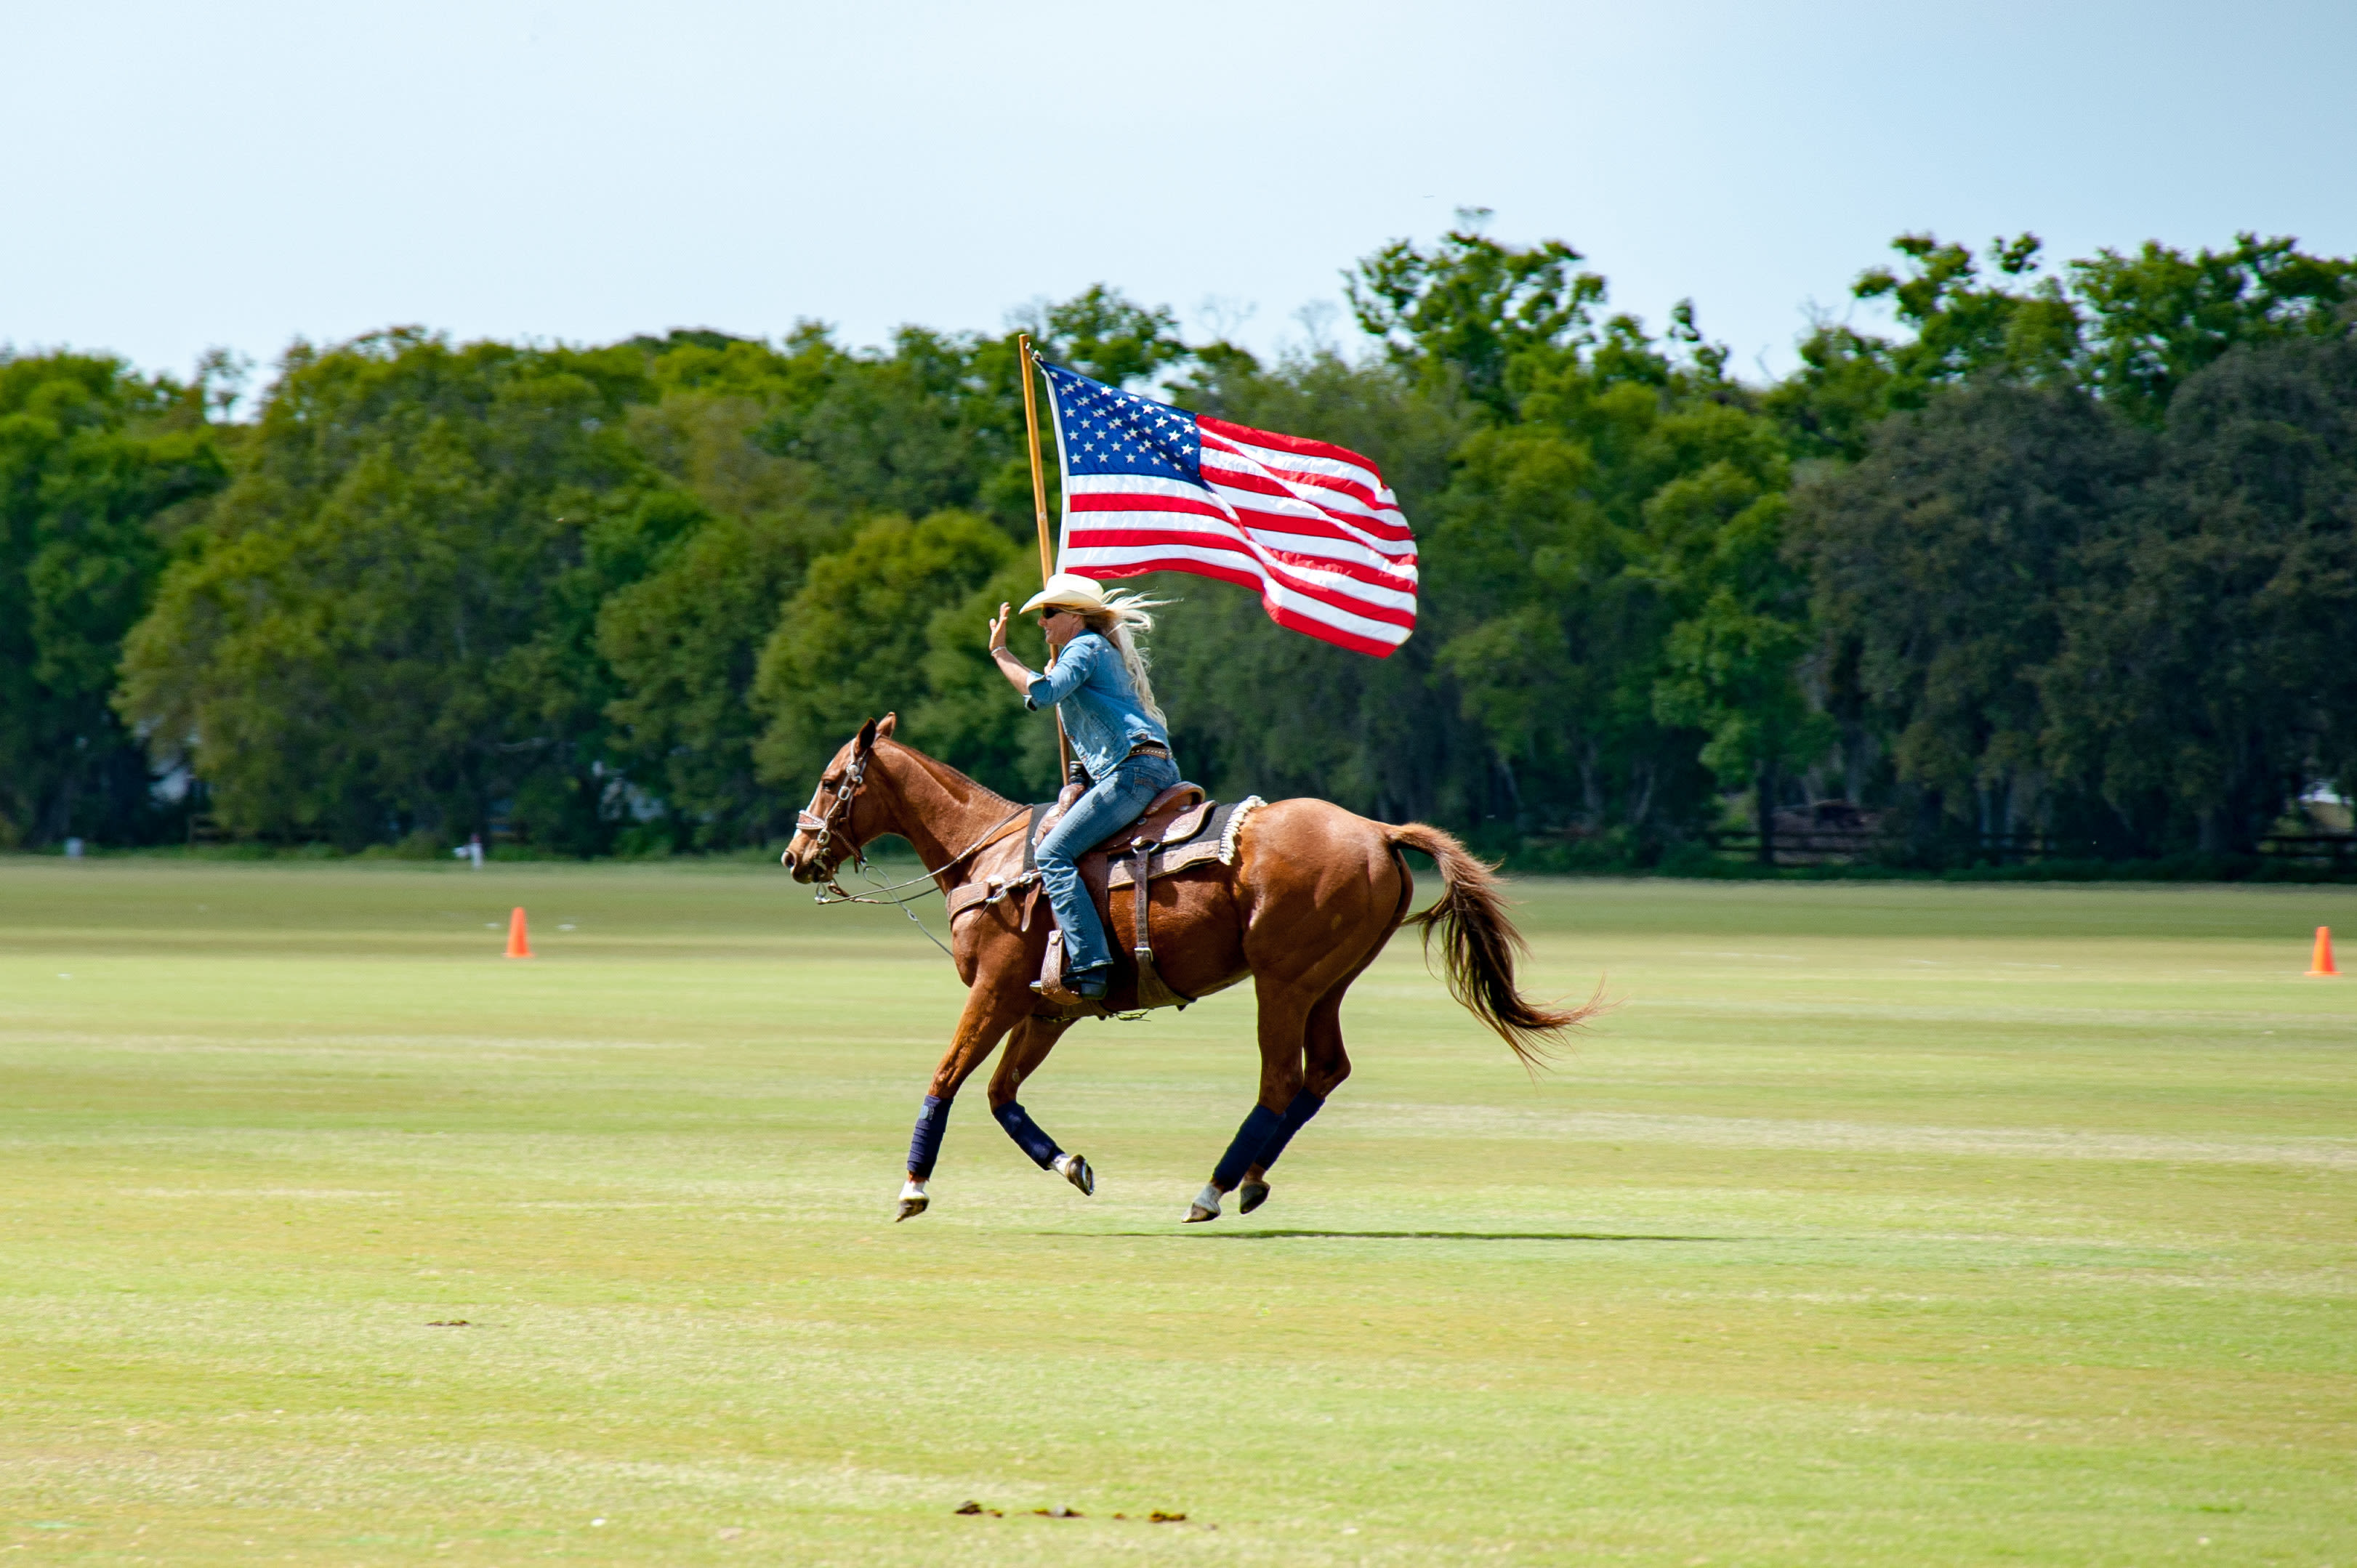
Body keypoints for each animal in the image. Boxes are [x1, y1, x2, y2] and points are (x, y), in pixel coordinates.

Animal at [782, 716, 1593, 1216]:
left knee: (1281, 1079)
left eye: (830, 779)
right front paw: (1070, 1164)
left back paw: (1212, 1188)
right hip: (1328, 980)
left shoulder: (999, 989)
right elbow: (999, 1093)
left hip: (1282, 980)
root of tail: (1380, 830)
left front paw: (913, 1187)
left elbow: (947, 1077)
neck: (987, 856)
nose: (795, 857)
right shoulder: (1047, 1008)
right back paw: (1252, 1179)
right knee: (1325, 1071)